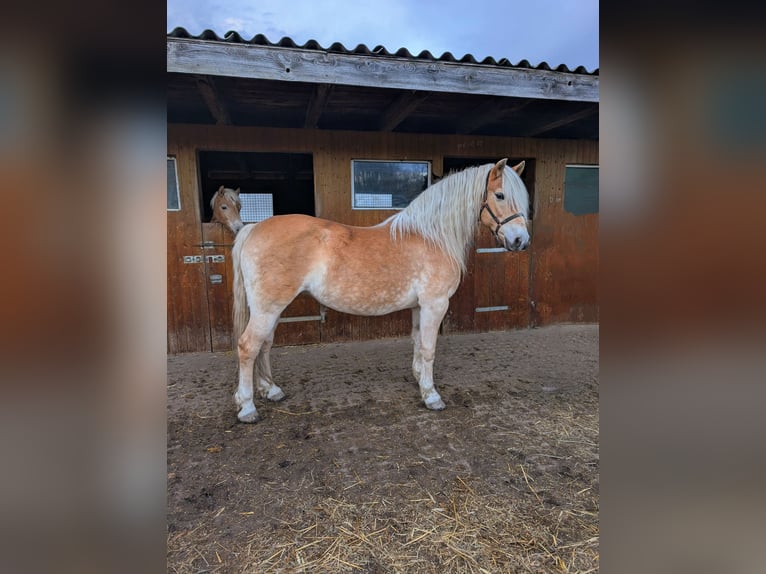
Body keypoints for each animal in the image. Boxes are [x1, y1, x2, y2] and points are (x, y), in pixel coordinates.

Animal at [231, 159, 532, 424]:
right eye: (500, 195)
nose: (521, 241)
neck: (431, 237)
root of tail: (253, 229)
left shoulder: (419, 306)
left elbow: (417, 342)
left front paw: (419, 380)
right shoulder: (435, 304)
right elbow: (429, 348)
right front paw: (432, 396)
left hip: (269, 309)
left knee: (265, 345)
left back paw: (271, 390)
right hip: (268, 308)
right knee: (248, 346)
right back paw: (247, 408)